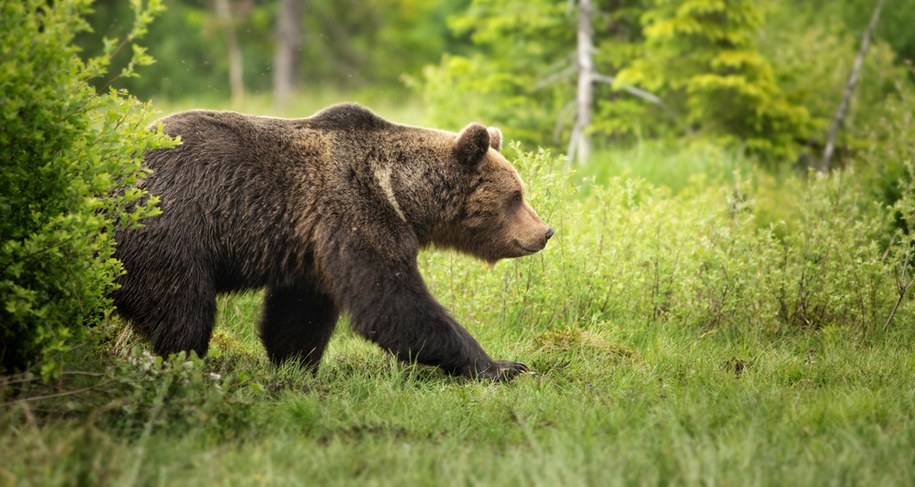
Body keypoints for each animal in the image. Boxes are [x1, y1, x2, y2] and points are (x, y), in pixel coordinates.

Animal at [113, 104, 552, 382]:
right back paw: (186, 366)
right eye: (516, 195)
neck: (400, 192)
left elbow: (299, 313)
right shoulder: (354, 213)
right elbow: (391, 301)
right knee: (184, 313)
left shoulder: (312, 245)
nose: (545, 232)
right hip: (168, 234)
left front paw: (297, 365)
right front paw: (502, 366)